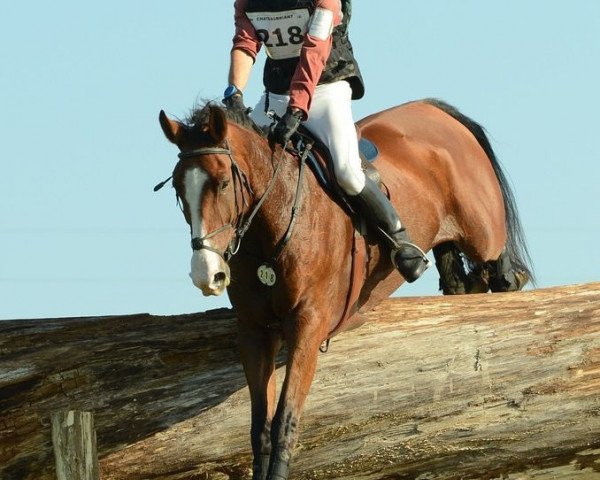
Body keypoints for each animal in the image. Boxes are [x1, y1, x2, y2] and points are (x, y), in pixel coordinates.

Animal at [157, 98, 532, 480]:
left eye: (221, 184)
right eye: (178, 190)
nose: (207, 274)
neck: (273, 221)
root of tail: (432, 107)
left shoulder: (307, 325)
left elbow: (284, 422)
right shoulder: (253, 331)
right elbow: (259, 426)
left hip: (481, 232)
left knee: (499, 266)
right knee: (459, 279)